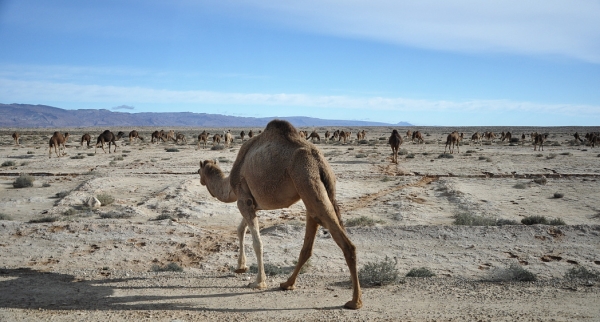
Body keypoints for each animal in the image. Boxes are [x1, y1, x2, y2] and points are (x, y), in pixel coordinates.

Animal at [199, 119, 364, 308]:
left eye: (199, 171)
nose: (199, 178)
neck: (230, 185)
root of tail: (319, 161)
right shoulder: (252, 203)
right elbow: (240, 229)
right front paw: (241, 267)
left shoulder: (243, 200)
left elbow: (257, 242)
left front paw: (258, 282)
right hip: (316, 189)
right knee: (309, 241)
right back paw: (287, 283)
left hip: (305, 178)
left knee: (345, 243)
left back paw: (355, 301)